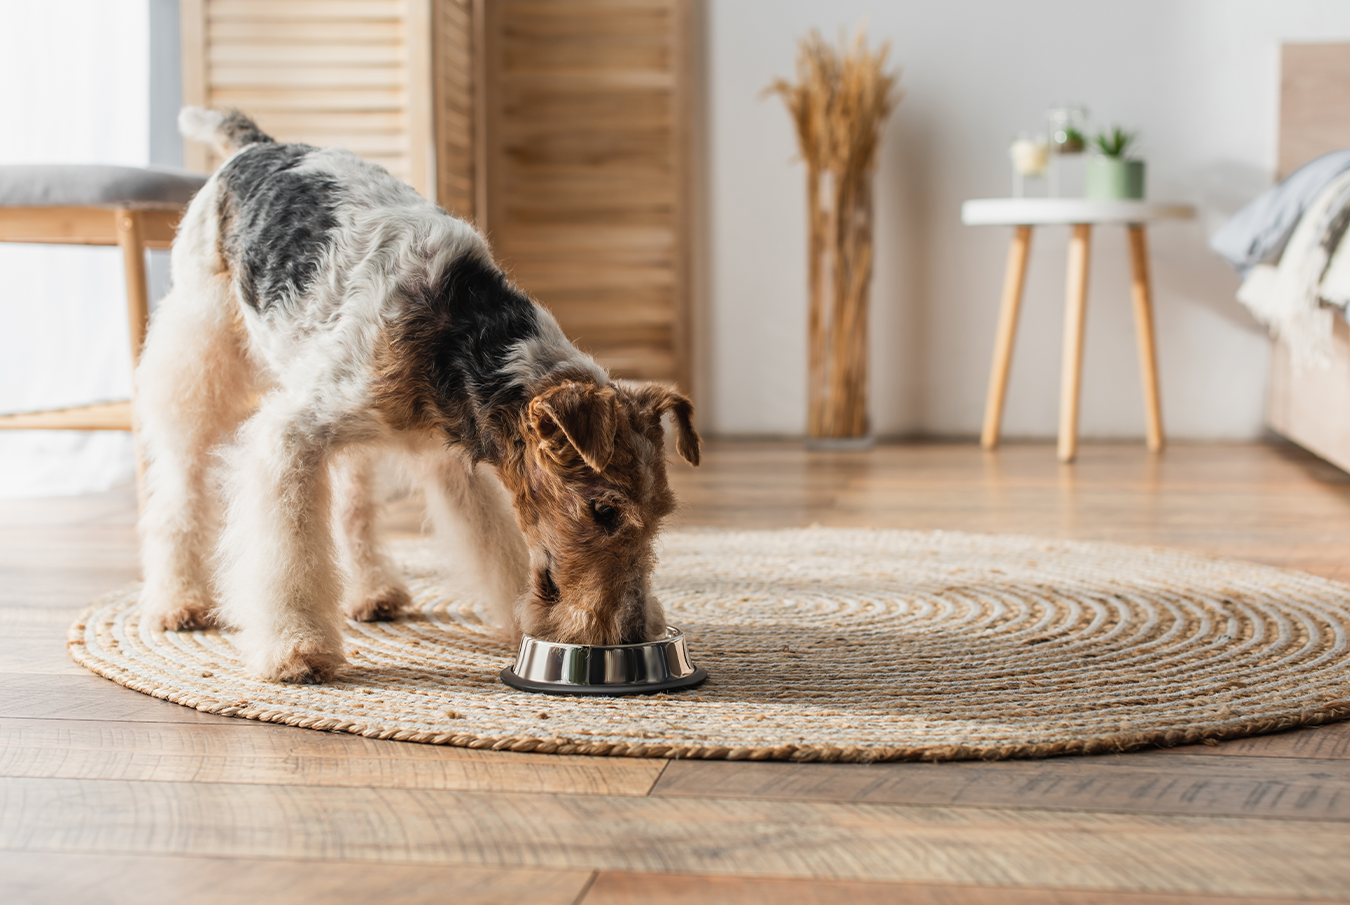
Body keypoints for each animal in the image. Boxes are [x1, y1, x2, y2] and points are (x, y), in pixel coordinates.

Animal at [134, 110, 707, 683]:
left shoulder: (452, 455)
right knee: (180, 490)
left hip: (349, 432)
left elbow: (495, 541)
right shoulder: (290, 436)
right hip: (201, 358)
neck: (466, 340)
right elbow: (287, 554)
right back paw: (179, 602)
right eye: (604, 510)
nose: (633, 635)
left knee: (353, 508)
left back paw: (373, 592)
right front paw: (297, 649)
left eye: (661, 513)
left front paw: (518, 617)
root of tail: (256, 142)